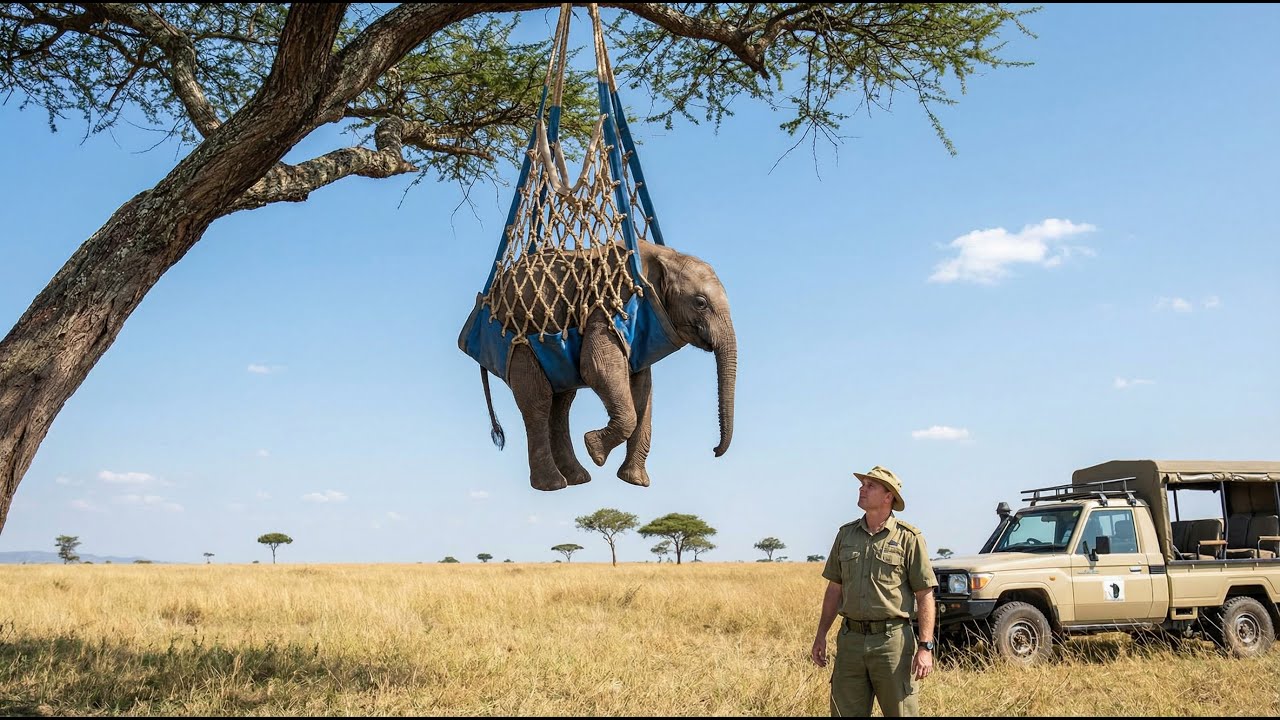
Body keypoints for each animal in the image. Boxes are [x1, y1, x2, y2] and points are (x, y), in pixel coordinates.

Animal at [479, 240, 736, 491]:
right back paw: (553, 484)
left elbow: (643, 390)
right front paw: (595, 450)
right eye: (700, 303)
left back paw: (577, 478)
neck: (666, 255)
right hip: (519, 333)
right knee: (538, 401)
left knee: (561, 404)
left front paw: (634, 481)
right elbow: (596, 367)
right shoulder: (610, 301)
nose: (714, 451)